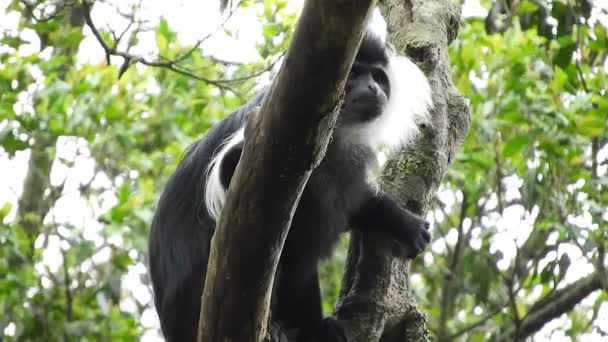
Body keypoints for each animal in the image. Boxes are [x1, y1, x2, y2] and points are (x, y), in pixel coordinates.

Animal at [147, 27, 432, 342]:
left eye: (378, 77)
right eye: (355, 73)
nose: (372, 88)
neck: (337, 131)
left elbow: (353, 202)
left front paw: (401, 222)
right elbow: (232, 171)